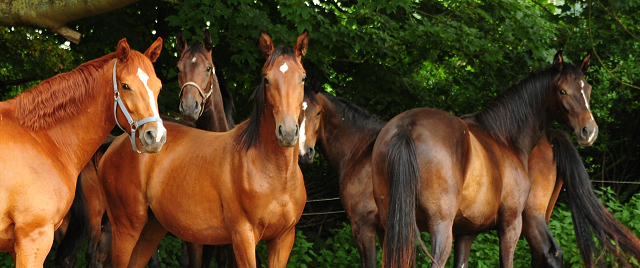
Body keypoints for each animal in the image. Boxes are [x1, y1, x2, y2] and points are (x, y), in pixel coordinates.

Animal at [97, 30, 310, 266]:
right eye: (266, 79)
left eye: (302, 78)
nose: (288, 132)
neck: (275, 174)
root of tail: (117, 142)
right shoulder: (243, 237)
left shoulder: (283, 239)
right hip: (126, 227)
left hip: (150, 229)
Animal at [372, 51, 604, 266]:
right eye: (562, 90)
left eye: (588, 89)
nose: (589, 131)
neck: (504, 137)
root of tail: (407, 126)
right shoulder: (511, 224)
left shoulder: (466, 232)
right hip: (443, 225)